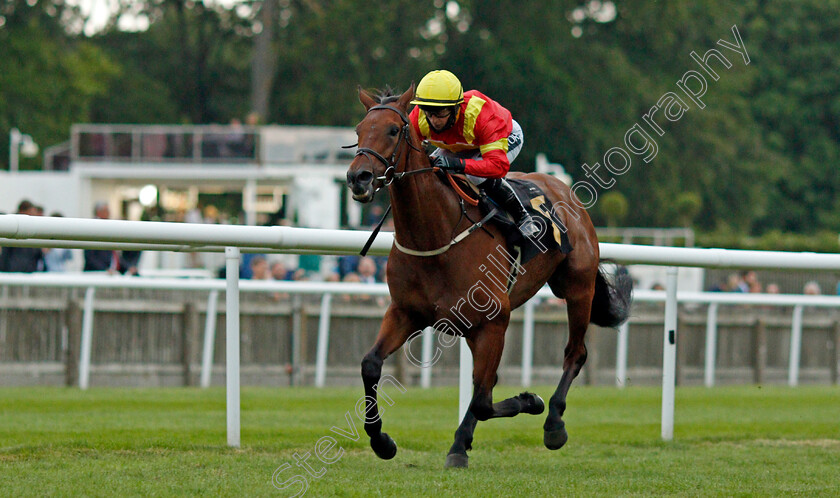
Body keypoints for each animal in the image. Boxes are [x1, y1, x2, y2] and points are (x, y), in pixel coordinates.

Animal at [342, 83, 632, 468]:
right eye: (359, 130)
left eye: (392, 130)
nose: (357, 177)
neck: (436, 235)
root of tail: (563, 189)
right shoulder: (406, 312)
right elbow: (371, 365)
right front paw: (382, 441)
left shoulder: (494, 321)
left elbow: (482, 399)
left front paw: (529, 402)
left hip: (577, 288)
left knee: (575, 353)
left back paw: (553, 423)